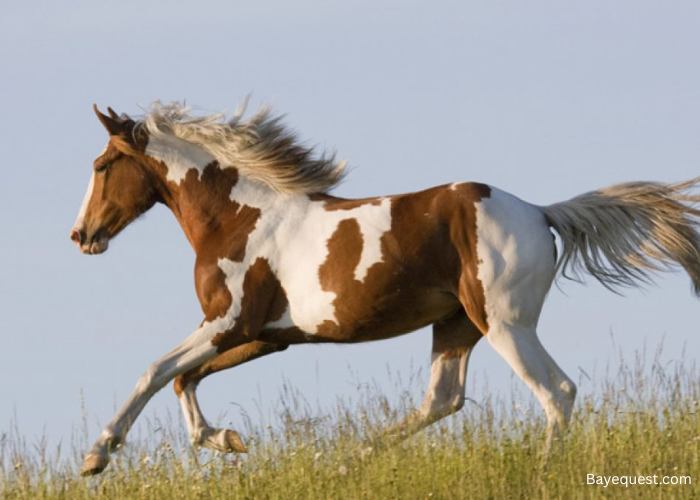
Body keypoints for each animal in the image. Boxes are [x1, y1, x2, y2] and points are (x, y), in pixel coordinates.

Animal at [71, 101, 700, 476]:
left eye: (101, 166)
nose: (81, 235)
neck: (240, 217)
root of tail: (542, 212)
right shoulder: (266, 335)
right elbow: (185, 379)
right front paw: (228, 440)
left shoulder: (228, 322)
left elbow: (156, 371)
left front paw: (97, 455)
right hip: (456, 324)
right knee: (443, 399)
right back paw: (349, 458)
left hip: (505, 323)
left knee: (557, 392)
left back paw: (542, 473)